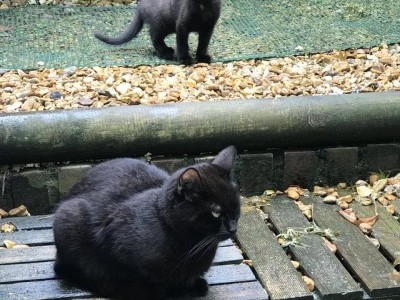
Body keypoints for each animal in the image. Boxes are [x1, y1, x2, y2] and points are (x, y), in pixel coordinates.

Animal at [53, 146, 241, 300]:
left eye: (236, 205)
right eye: (216, 212)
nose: (233, 228)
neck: (193, 247)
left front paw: (193, 283)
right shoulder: (115, 241)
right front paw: (169, 290)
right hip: (69, 216)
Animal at [93, 0, 222, 64]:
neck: (202, 5)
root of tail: (139, 6)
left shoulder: (208, 28)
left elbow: (203, 44)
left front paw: (202, 57)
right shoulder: (181, 26)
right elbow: (182, 44)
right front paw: (184, 59)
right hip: (161, 24)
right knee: (154, 37)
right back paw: (166, 53)